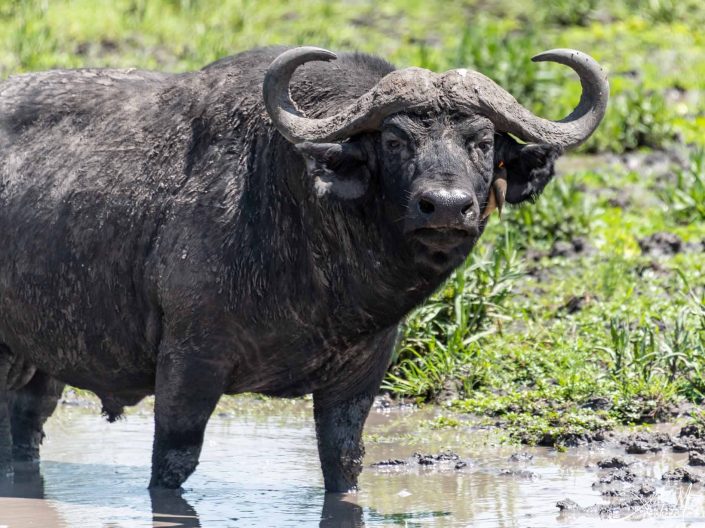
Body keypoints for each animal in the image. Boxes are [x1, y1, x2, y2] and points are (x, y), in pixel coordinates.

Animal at [0, 45, 604, 490]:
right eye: (394, 140)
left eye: (482, 142)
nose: (447, 206)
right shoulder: (188, 363)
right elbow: (172, 464)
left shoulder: (361, 375)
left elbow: (344, 463)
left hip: (42, 357)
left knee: (25, 427)